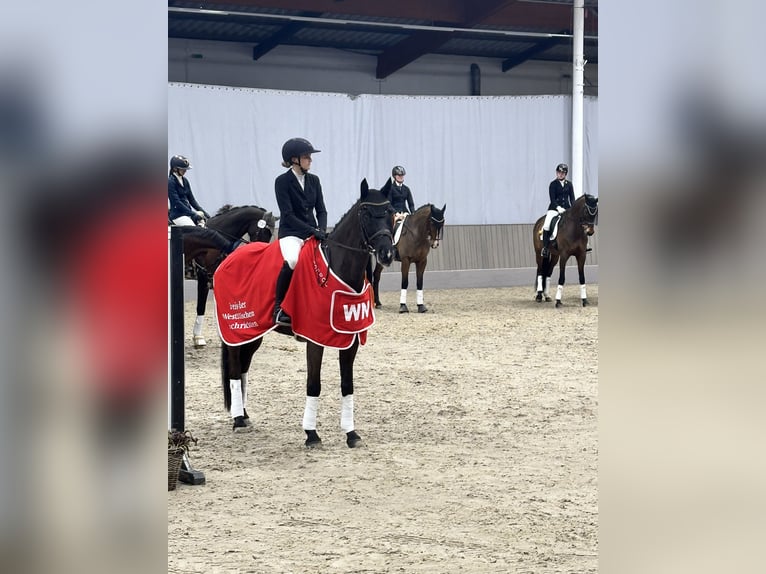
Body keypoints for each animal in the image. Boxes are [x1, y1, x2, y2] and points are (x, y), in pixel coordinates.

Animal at [218, 180, 392, 450]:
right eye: (366, 213)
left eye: (390, 212)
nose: (387, 254)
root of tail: (230, 255)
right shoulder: (314, 339)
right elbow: (314, 384)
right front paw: (311, 434)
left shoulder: (350, 339)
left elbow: (347, 384)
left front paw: (351, 434)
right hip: (236, 329)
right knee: (236, 369)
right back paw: (237, 420)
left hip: (253, 331)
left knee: (244, 366)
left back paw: (244, 416)